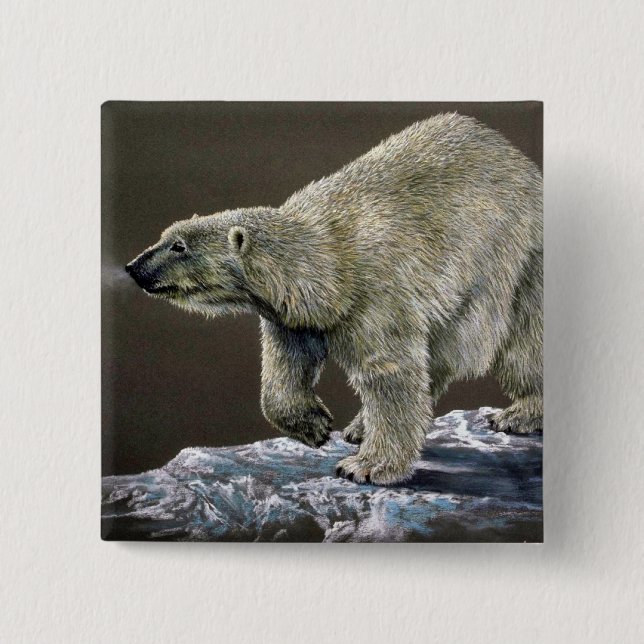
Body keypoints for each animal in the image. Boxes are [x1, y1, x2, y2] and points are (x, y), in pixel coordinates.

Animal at [125, 113, 543, 485]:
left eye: (179, 246)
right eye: (165, 235)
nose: (133, 267)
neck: (326, 261)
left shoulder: (377, 293)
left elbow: (389, 372)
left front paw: (366, 467)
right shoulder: (293, 314)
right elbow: (287, 364)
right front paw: (314, 425)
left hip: (518, 257)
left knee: (521, 342)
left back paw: (518, 414)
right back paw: (358, 426)